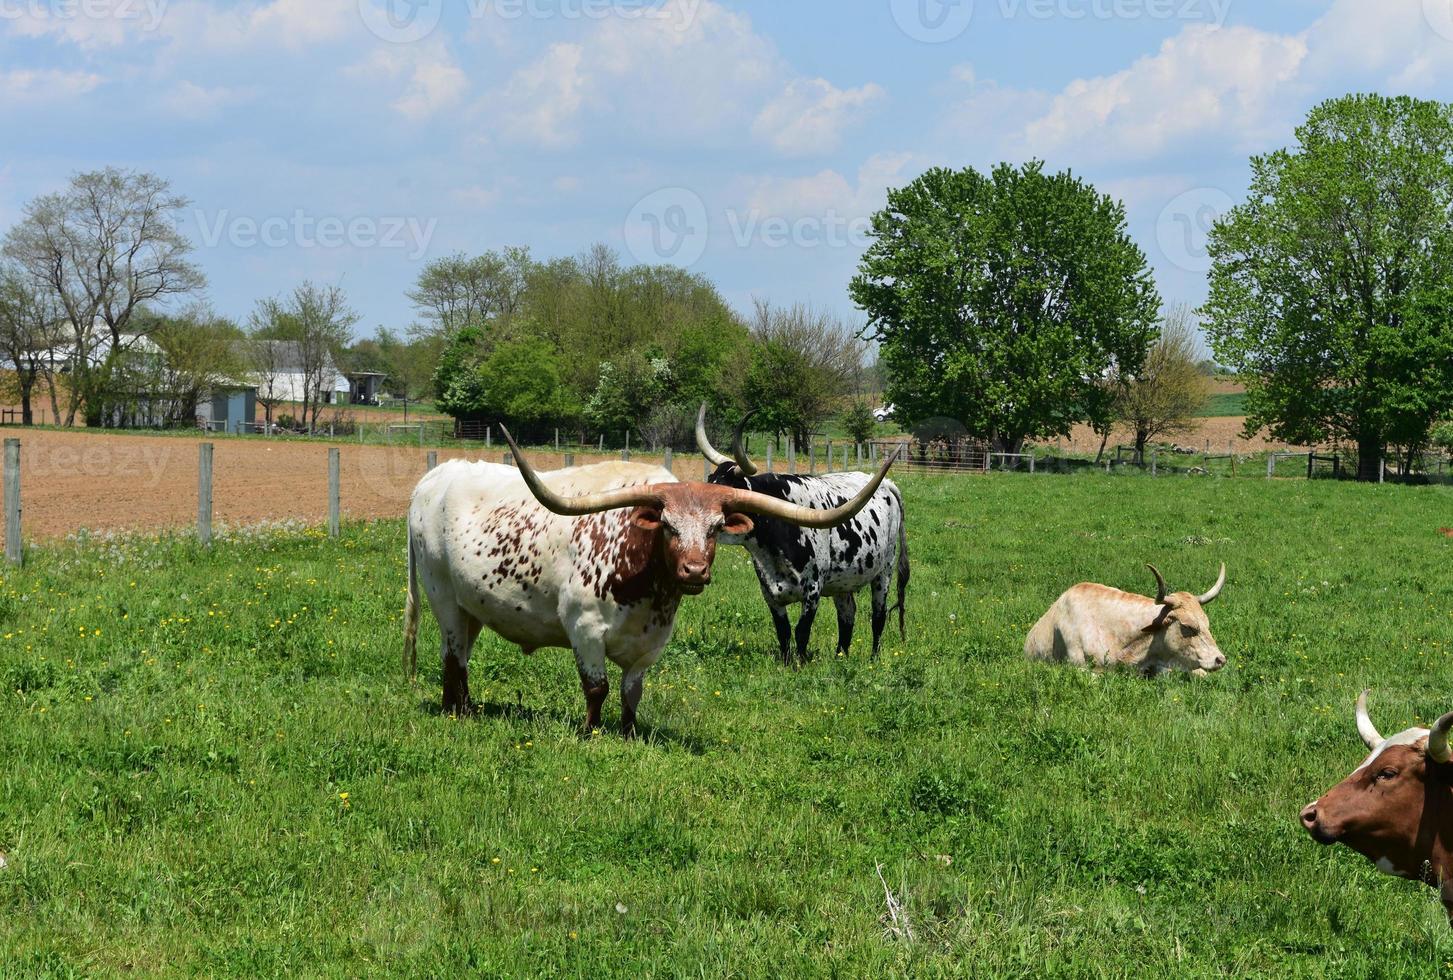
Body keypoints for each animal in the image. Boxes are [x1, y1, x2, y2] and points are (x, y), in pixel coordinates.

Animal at [700, 404, 912, 663]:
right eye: (709, 480)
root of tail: (886, 483)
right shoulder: (769, 593)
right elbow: (783, 632)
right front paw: (785, 663)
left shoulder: (813, 590)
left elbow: (802, 632)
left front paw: (800, 665)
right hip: (843, 581)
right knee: (847, 615)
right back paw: (840, 657)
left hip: (885, 570)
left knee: (878, 617)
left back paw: (872, 659)